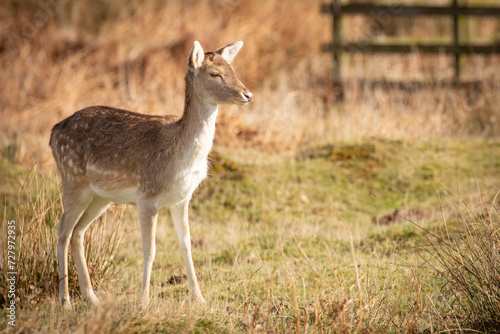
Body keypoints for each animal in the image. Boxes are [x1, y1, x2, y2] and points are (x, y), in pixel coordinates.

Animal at [49, 40, 254, 310]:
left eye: (233, 69)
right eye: (215, 74)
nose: (248, 95)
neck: (179, 157)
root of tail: (53, 133)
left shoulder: (182, 198)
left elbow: (186, 245)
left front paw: (199, 298)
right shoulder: (147, 195)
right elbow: (150, 249)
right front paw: (143, 301)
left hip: (100, 196)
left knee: (78, 232)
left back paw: (93, 298)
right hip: (73, 179)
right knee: (62, 229)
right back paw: (65, 302)